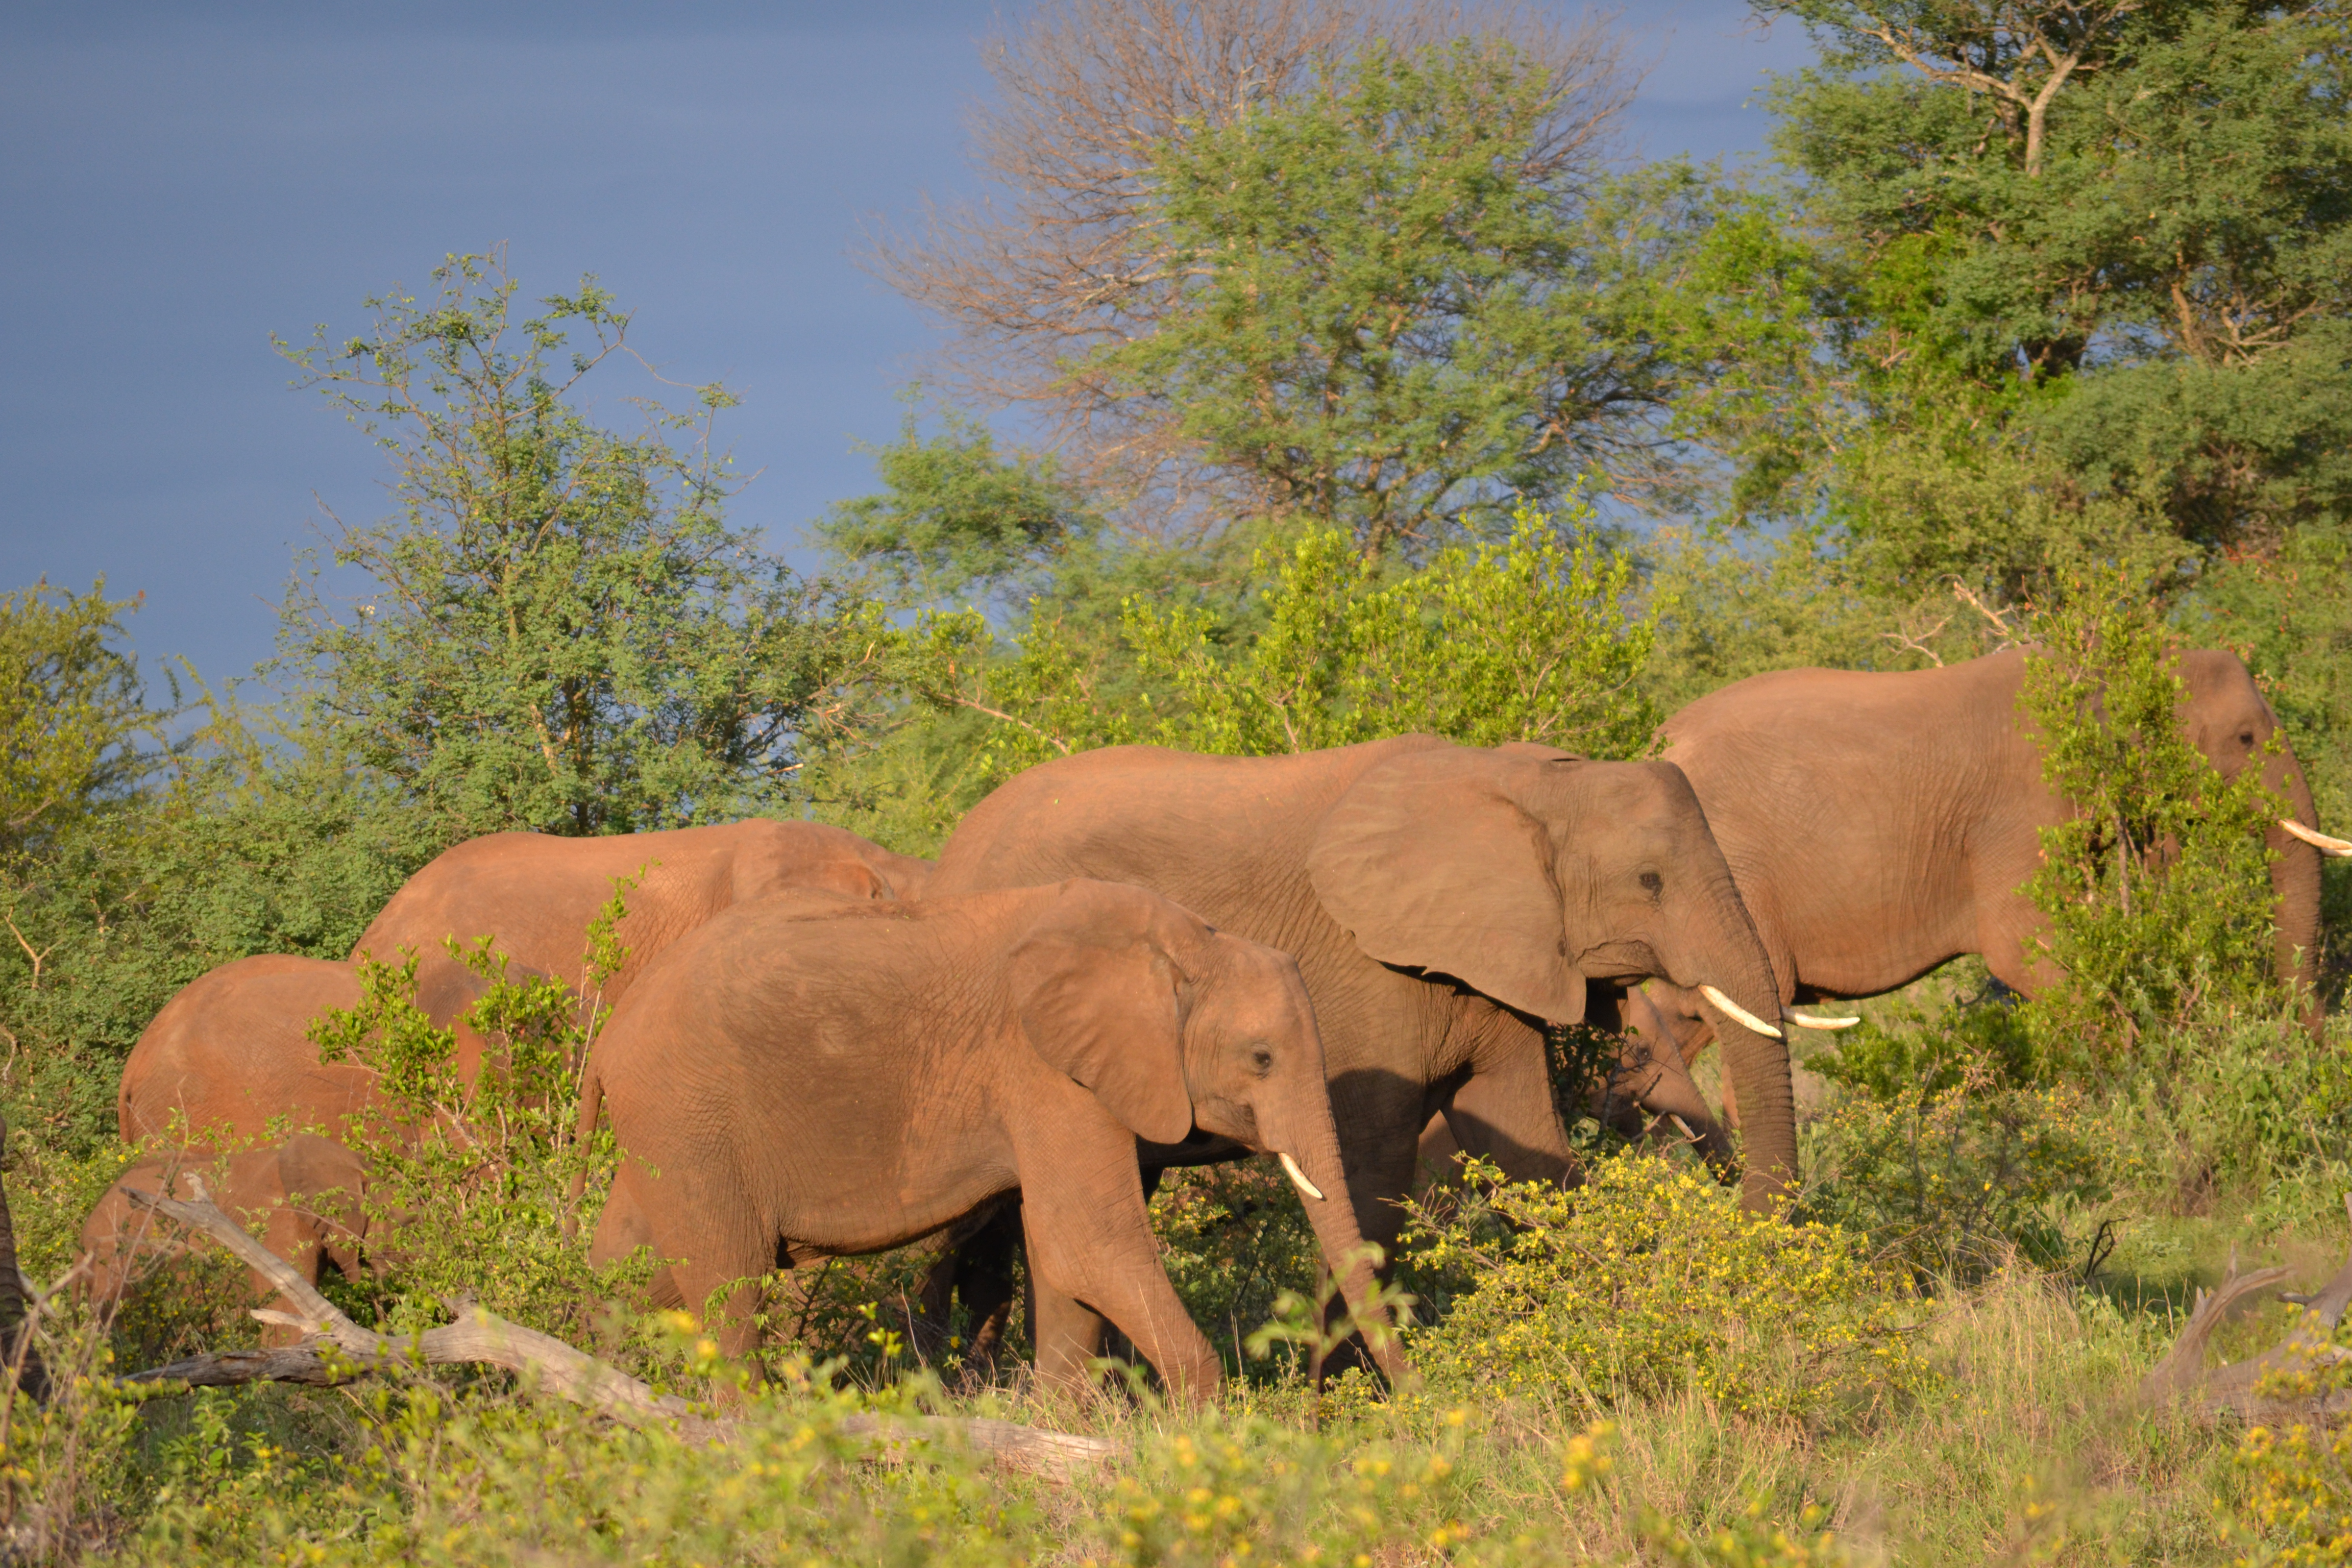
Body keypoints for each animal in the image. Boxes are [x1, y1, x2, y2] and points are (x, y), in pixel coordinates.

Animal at [578, 879, 1402, 1401]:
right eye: (1262, 1059)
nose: (1408, 1393)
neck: (1186, 943)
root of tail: (609, 1037)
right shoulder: (1043, 1070)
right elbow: (1088, 1242)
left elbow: (1064, 1260)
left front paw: (1067, 1433)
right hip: (689, 1117)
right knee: (729, 1286)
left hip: (669, 1132)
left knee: (629, 1270)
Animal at [922, 738, 1797, 1363]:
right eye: (1649, 881)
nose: (1742, 1245)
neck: (1520, 779)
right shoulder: (1365, 971)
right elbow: (1371, 1173)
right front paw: (1355, 1405)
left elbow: (1526, 1152)